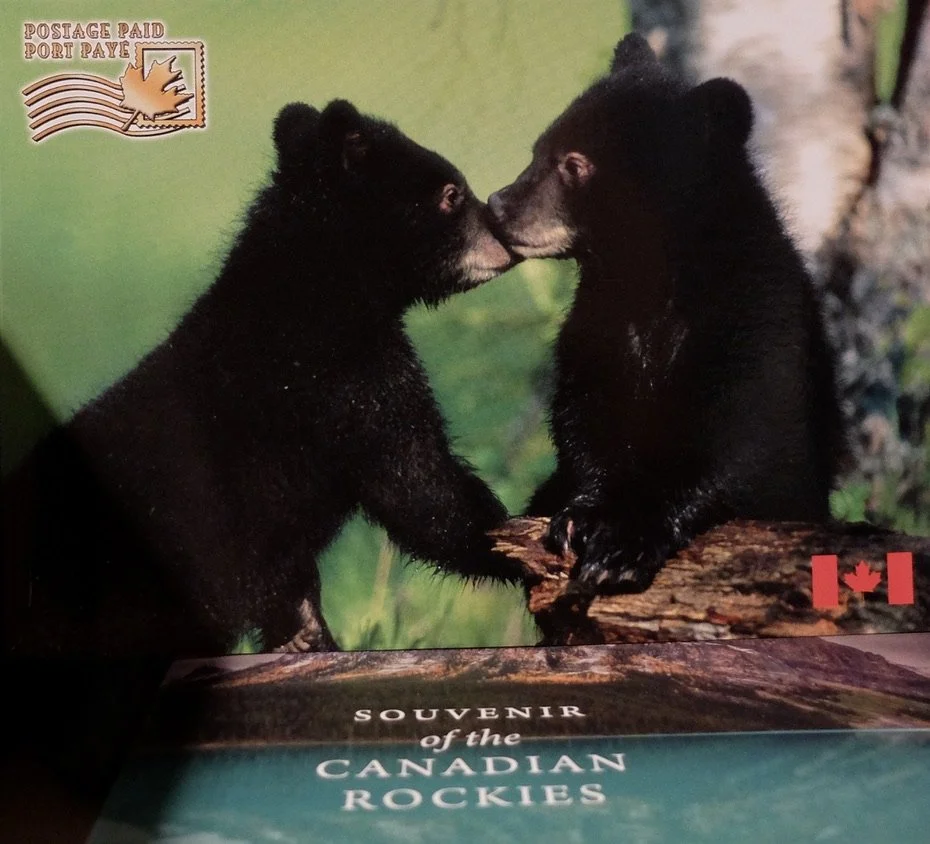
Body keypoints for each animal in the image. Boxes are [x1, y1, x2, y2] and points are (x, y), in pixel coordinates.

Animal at [6, 99, 520, 658]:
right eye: (451, 193)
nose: (509, 241)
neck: (317, 295)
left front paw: (307, 637)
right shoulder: (350, 381)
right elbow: (418, 485)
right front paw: (522, 541)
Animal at [487, 33, 844, 593]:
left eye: (575, 164)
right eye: (537, 150)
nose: (497, 205)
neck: (652, 282)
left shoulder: (755, 319)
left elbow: (740, 439)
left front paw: (625, 546)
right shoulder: (599, 319)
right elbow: (586, 415)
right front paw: (581, 514)